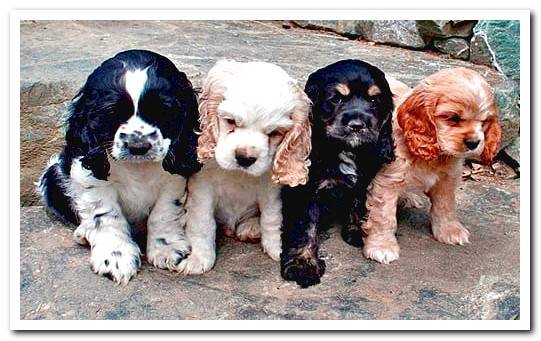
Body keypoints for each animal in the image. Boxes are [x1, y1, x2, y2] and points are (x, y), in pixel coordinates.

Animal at [37, 49, 200, 282]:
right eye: (112, 113)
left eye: (163, 111)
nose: (138, 146)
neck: (137, 167)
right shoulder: (91, 178)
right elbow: (107, 216)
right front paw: (115, 256)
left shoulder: (173, 179)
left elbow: (164, 212)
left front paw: (166, 247)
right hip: (52, 176)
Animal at [178, 60, 310, 274]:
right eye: (230, 121)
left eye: (274, 133)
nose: (245, 158)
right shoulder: (202, 187)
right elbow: (202, 222)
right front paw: (199, 258)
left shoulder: (270, 190)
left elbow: (272, 218)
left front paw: (277, 248)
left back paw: (251, 228)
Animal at [278, 59, 392, 286]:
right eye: (336, 99)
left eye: (374, 100)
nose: (357, 125)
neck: (345, 149)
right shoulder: (306, 190)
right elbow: (306, 226)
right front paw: (303, 264)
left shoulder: (363, 181)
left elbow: (357, 204)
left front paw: (356, 230)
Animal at [360, 67, 500, 262]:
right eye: (453, 118)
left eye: (484, 122)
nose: (474, 142)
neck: (434, 155)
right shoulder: (387, 181)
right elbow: (384, 216)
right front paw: (382, 246)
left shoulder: (447, 179)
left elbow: (446, 206)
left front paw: (449, 230)